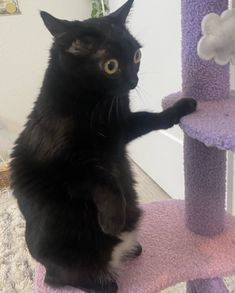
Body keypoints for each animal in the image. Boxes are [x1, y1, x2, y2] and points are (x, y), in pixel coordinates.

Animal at [9, 1, 196, 290]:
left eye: (136, 56)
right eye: (110, 66)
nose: (133, 81)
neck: (96, 104)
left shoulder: (121, 128)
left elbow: (151, 118)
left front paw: (182, 107)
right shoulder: (66, 167)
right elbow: (104, 181)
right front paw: (113, 219)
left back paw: (131, 249)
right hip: (64, 250)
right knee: (61, 278)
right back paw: (105, 282)